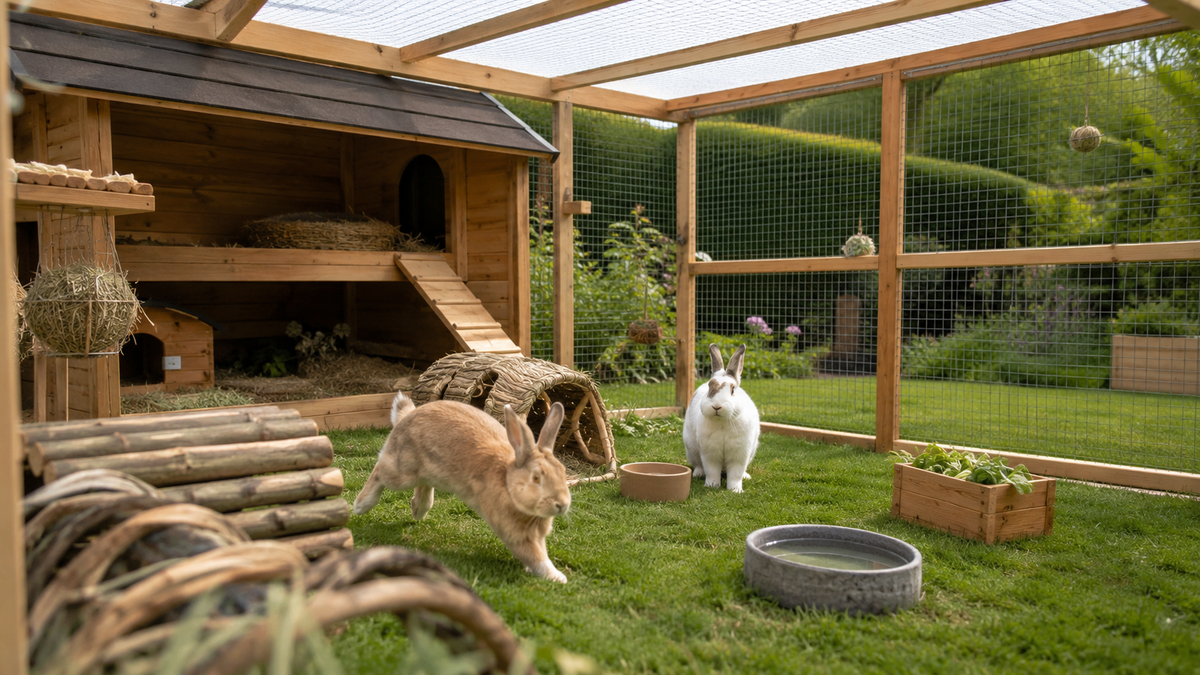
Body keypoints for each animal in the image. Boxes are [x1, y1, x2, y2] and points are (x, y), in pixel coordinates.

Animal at [353, 392, 573, 583]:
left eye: (563, 472)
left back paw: (418, 510)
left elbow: (540, 552)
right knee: (379, 470)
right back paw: (361, 505)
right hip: (402, 472)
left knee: (423, 486)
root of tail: (407, 415)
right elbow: (536, 557)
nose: (562, 504)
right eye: (536, 478)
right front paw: (557, 577)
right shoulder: (515, 534)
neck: (508, 483)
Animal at [683, 343, 760, 493]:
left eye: (733, 390)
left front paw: (735, 490)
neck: (723, 422)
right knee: (698, 465)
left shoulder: (740, 454)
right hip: (692, 449)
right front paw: (712, 485)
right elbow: (712, 471)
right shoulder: (709, 454)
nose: (716, 406)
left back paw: (746, 476)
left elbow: (736, 474)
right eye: (709, 387)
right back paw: (698, 473)